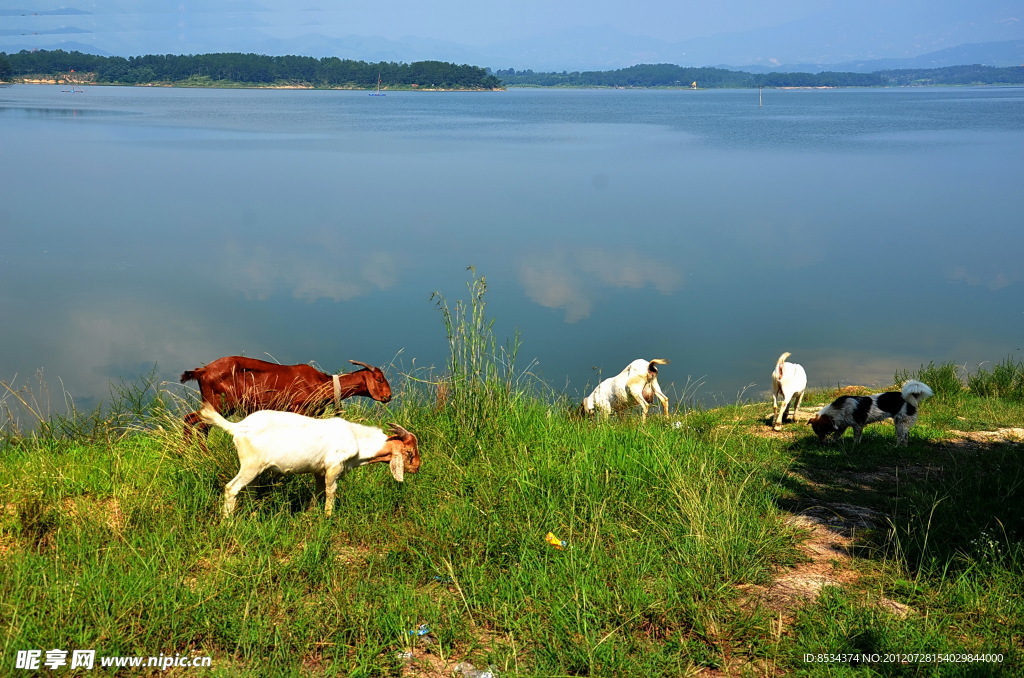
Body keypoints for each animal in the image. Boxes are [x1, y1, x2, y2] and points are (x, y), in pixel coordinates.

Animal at [180, 356, 391, 446]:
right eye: (379, 379)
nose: (388, 396)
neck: (323, 383)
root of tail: (203, 371)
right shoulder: (298, 409)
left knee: (195, 423)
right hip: (220, 403)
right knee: (196, 424)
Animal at [197, 401, 421, 518]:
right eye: (410, 452)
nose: (417, 468)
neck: (356, 438)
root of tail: (238, 427)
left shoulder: (318, 471)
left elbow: (318, 491)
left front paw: (310, 512)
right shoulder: (333, 466)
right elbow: (331, 491)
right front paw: (328, 516)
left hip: (255, 469)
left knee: (250, 489)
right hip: (250, 465)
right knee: (231, 488)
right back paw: (228, 521)